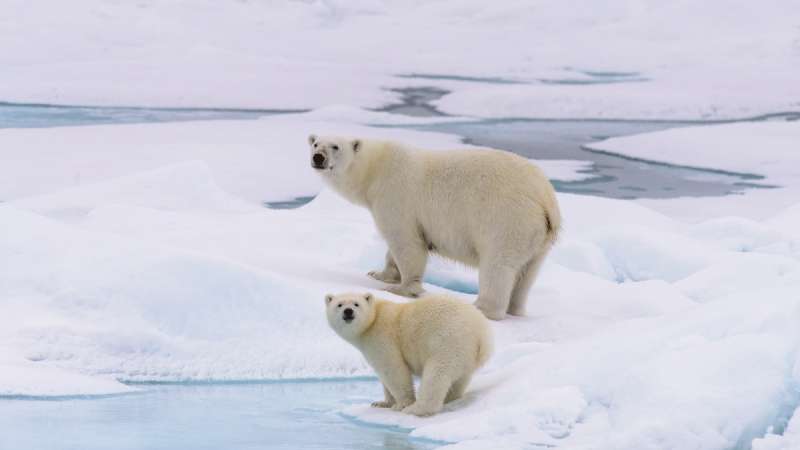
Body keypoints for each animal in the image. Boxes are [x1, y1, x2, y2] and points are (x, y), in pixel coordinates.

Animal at [309, 134, 561, 320]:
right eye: (315, 142)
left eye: (335, 146)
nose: (317, 157)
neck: (377, 167)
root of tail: (546, 199)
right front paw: (379, 274)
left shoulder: (396, 195)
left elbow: (406, 242)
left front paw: (400, 289)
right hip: (538, 238)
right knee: (527, 273)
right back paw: (515, 308)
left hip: (508, 220)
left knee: (498, 266)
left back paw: (482, 307)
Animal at [325, 292, 493, 416]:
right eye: (339, 304)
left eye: (356, 304)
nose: (348, 311)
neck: (373, 319)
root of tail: (482, 333)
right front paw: (381, 403)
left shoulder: (382, 338)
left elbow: (393, 370)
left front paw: (401, 404)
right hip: (466, 355)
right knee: (460, 379)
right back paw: (450, 400)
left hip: (447, 341)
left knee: (436, 375)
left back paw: (416, 409)